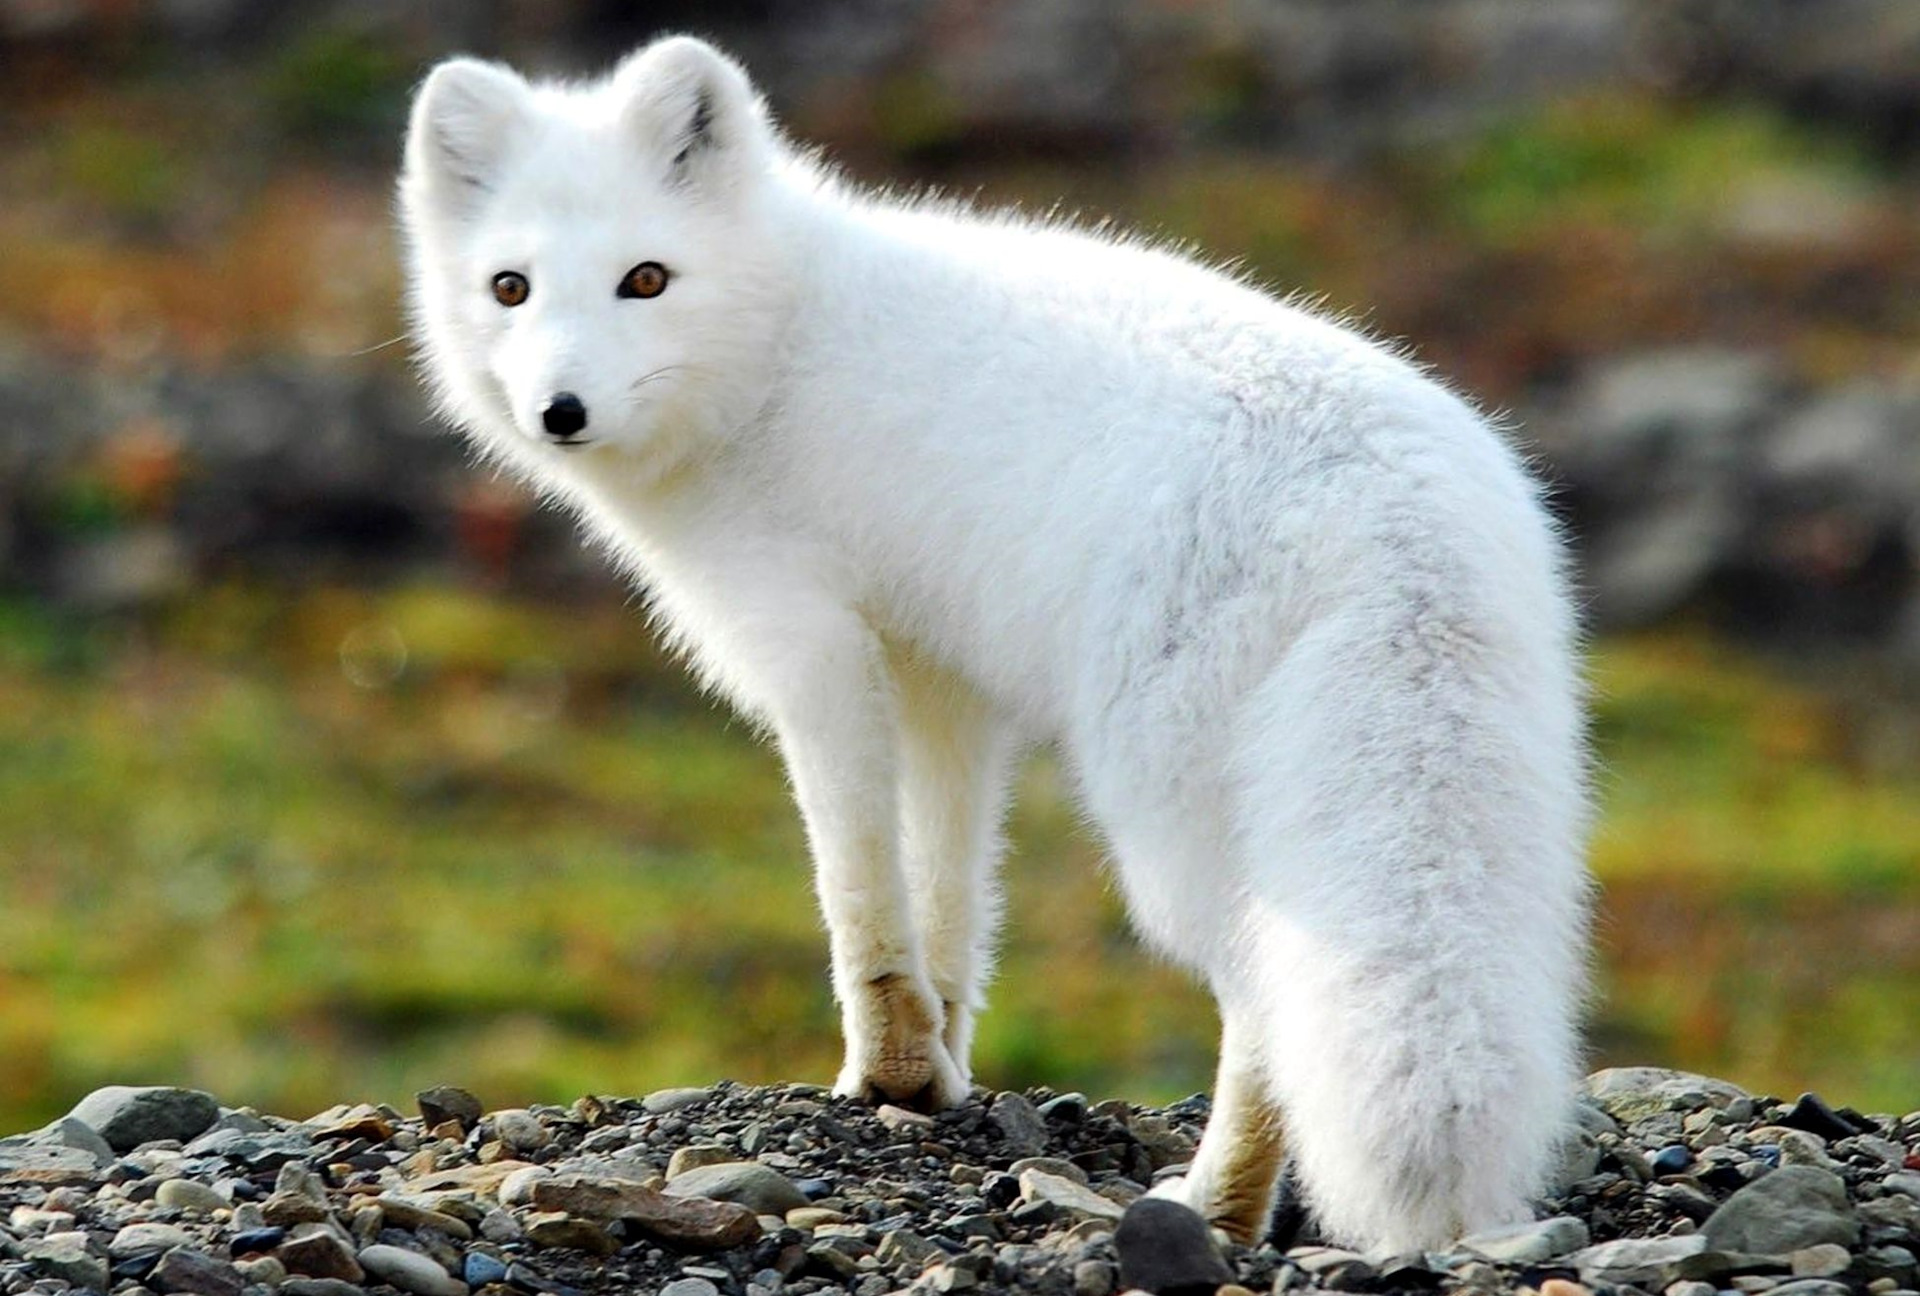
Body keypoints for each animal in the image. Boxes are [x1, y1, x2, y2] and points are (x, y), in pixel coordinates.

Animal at [397, 35, 1582, 1259]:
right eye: (509, 287)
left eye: (646, 279)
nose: (561, 411)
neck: (777, 346)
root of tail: (1393, 510)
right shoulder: (942, 681)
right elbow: (951, 891)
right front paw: (940, 1072)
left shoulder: (812, 647)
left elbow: (859, 885)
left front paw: (886, 1069)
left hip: (1174, 815)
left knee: (1263, 999)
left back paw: (1216, 1204)